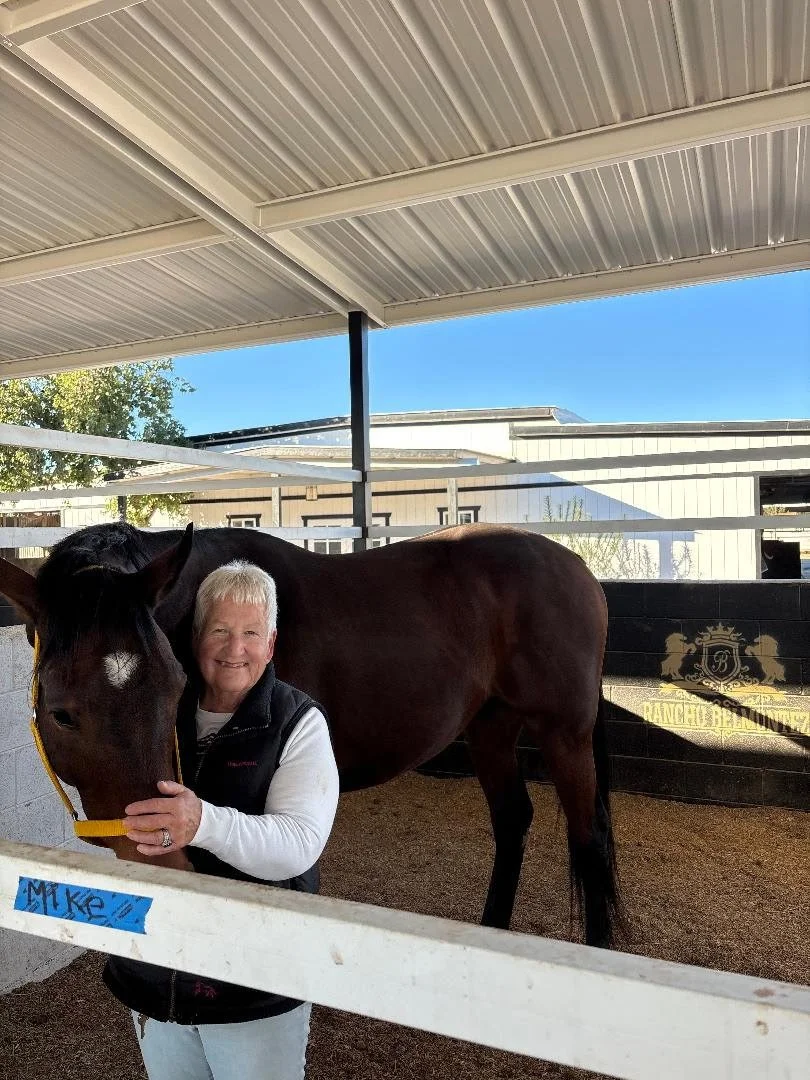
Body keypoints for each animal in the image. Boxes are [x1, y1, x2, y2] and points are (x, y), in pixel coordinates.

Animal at [0, 521, 623, 947]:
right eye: (61, 712)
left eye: (175, 688)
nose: (159, 863)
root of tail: (577, 568)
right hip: (490, 727)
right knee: (513, 821)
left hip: (565, 734)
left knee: (589, 841)